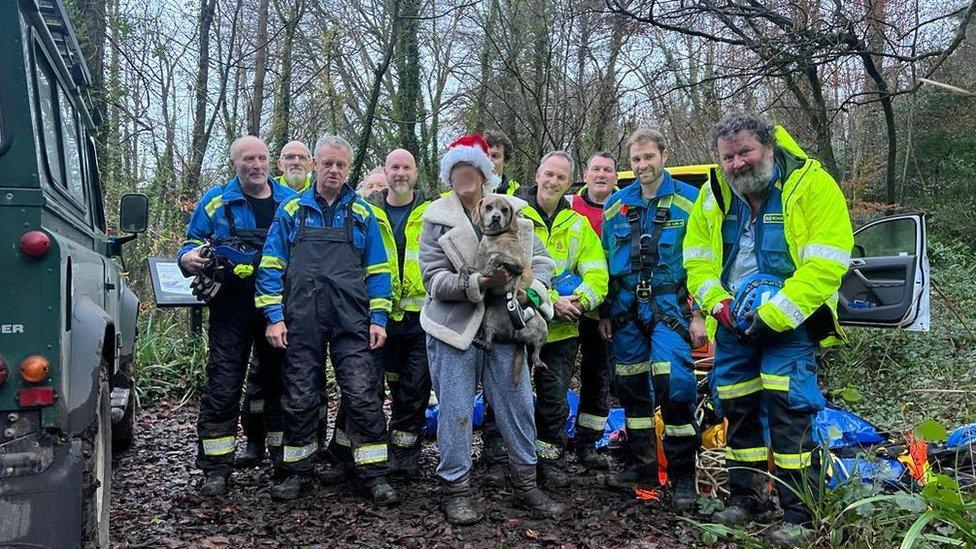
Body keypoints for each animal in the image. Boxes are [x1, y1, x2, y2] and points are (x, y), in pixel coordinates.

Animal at [470, 193, 548, 382]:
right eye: (489, 207)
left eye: (504, 209)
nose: (496, 217)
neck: (496, 238)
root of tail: (515, 337)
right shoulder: (477, 267)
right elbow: (470, 269)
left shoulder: (518, 263)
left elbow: (499, 257)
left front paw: (492, 266)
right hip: (488, 320)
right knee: (489, 344)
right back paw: (482, 342)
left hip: (543, 328)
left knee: (536, 352)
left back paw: (539, 361)